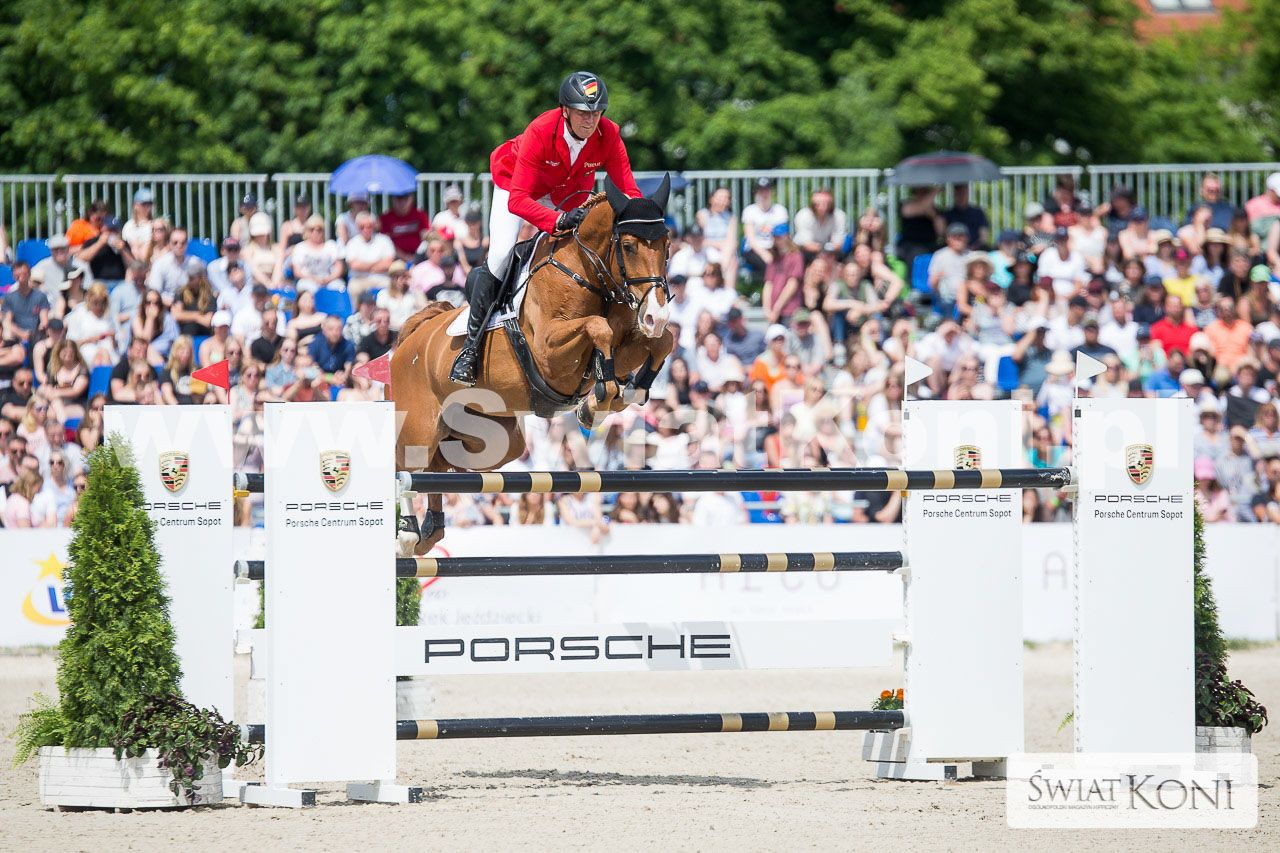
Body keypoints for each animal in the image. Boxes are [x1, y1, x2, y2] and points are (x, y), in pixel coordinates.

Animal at [390, 175, 675, 552]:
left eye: (666, 246)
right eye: (628, 246)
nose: (655, 314)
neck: (586, 273)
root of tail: (411, 337)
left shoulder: (628, 340)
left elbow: (662, 341)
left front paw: (624, 393)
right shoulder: (549, 355)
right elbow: (596, 326)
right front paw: (602, 396)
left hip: (492, 438)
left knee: (439, 462)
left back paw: (431, 529)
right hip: (419, 422)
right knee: (407, 463)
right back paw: (408, 533)